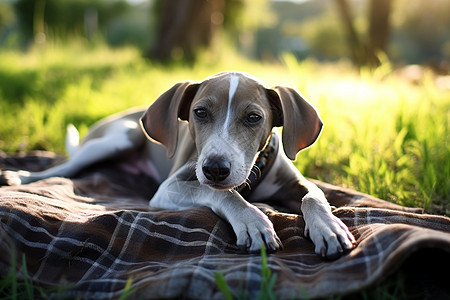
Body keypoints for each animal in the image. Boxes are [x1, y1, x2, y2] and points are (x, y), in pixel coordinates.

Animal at [2, 71, 356, 258]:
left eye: (254, 118)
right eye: (199, 113)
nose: (214, 169)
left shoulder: (298, 182)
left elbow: (314, 197)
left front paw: (328, 227)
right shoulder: (169, 188)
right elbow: (222, 194)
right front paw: (252, 220)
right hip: (119, 138)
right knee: (63, 168)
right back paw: (21, 176)